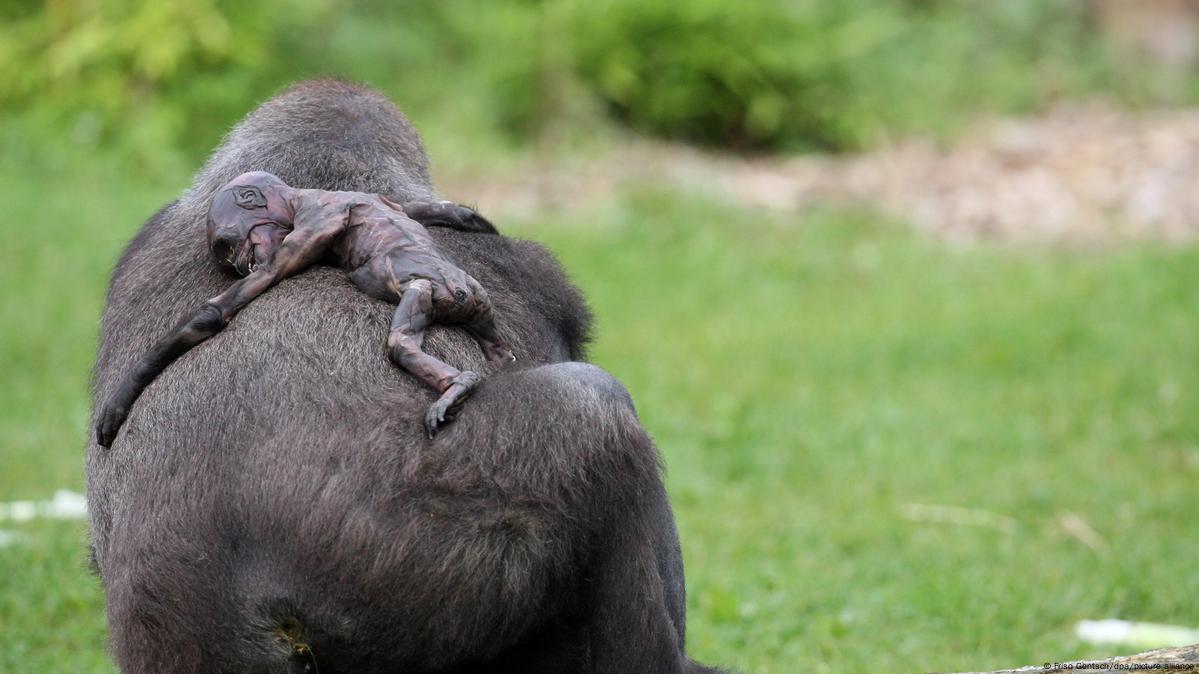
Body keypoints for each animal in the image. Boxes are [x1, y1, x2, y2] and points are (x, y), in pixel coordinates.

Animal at [95, 172, 513, 446]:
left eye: (228, 246)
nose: (240, 266)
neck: (301, 197)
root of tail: (461, 290)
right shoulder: (384, 199)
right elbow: (451, 212)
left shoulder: (308, 228)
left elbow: (216, 311)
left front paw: (122, 395)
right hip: (480, 306)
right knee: (497, 349)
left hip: (428, 293)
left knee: (401, 341)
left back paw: (458, 384)